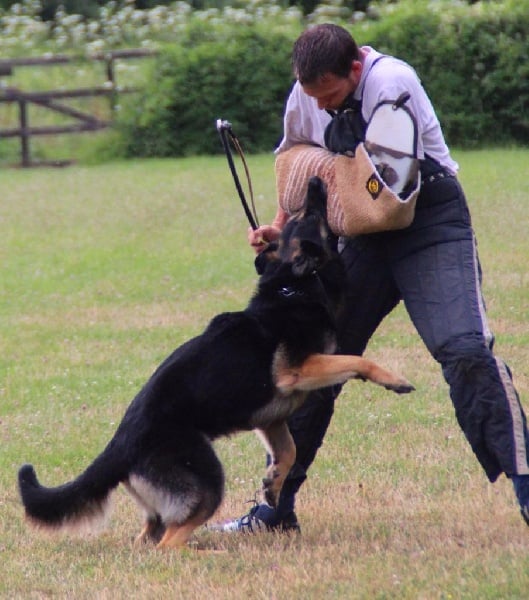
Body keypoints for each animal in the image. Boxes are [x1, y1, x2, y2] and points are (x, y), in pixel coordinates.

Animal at [18, 176, 414, 550]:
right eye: (307, 215)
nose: (315, 181)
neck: (292, 286)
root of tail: (119, 447)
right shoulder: (296, 371)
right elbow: (358, 359)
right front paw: (394, 379)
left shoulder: (270, 417)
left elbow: (288, 450)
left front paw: (272, 486)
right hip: (206, 479)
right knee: (168, 545)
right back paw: (209, 552)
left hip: (161, 505)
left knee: (147, 539)